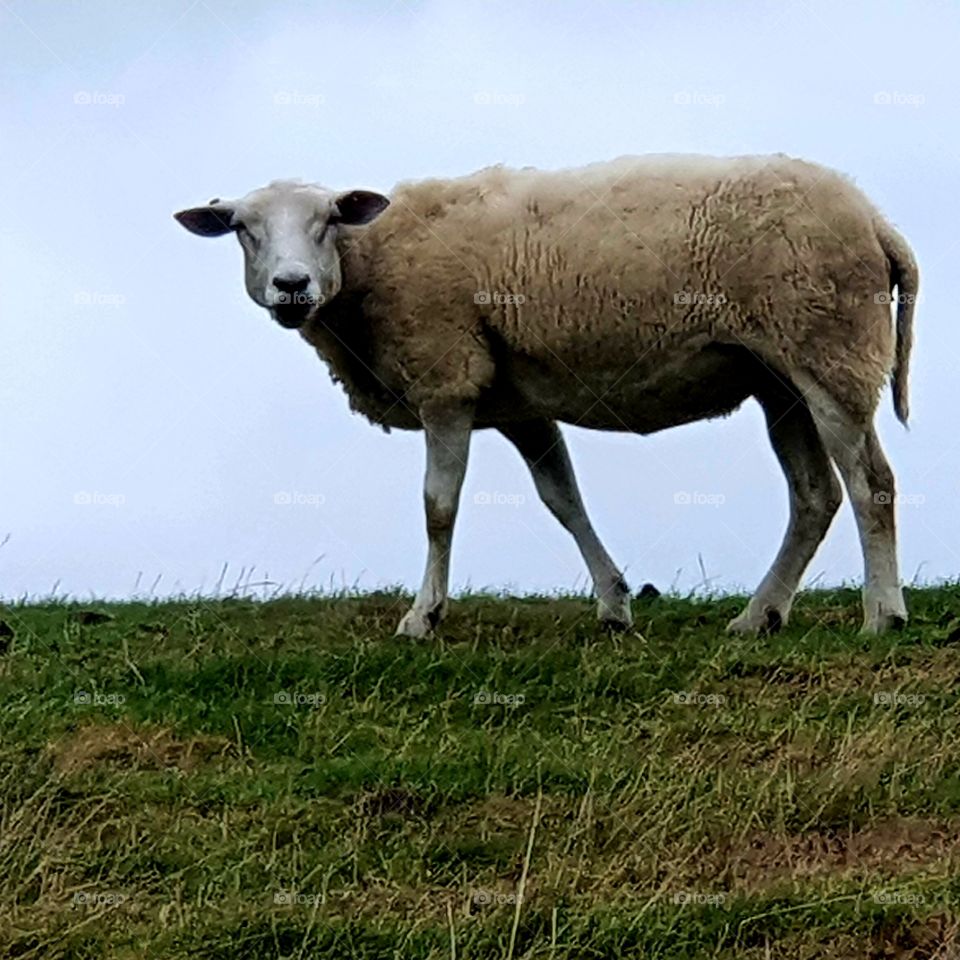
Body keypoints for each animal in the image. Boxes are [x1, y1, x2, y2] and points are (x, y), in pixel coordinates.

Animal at [174, 153, 918, 637]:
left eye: (329, 219)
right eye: (243, 228)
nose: (292, 285)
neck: (370, 264)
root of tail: (877, 220)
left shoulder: (448, 380)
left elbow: (438, 507)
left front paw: (423, 616)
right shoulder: (519, 407)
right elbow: (563, 499)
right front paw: (615, 603)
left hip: (831, 350)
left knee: (871, 483)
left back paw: (882, 614)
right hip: (778, 378)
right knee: (814, 495)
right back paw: (759, 615)